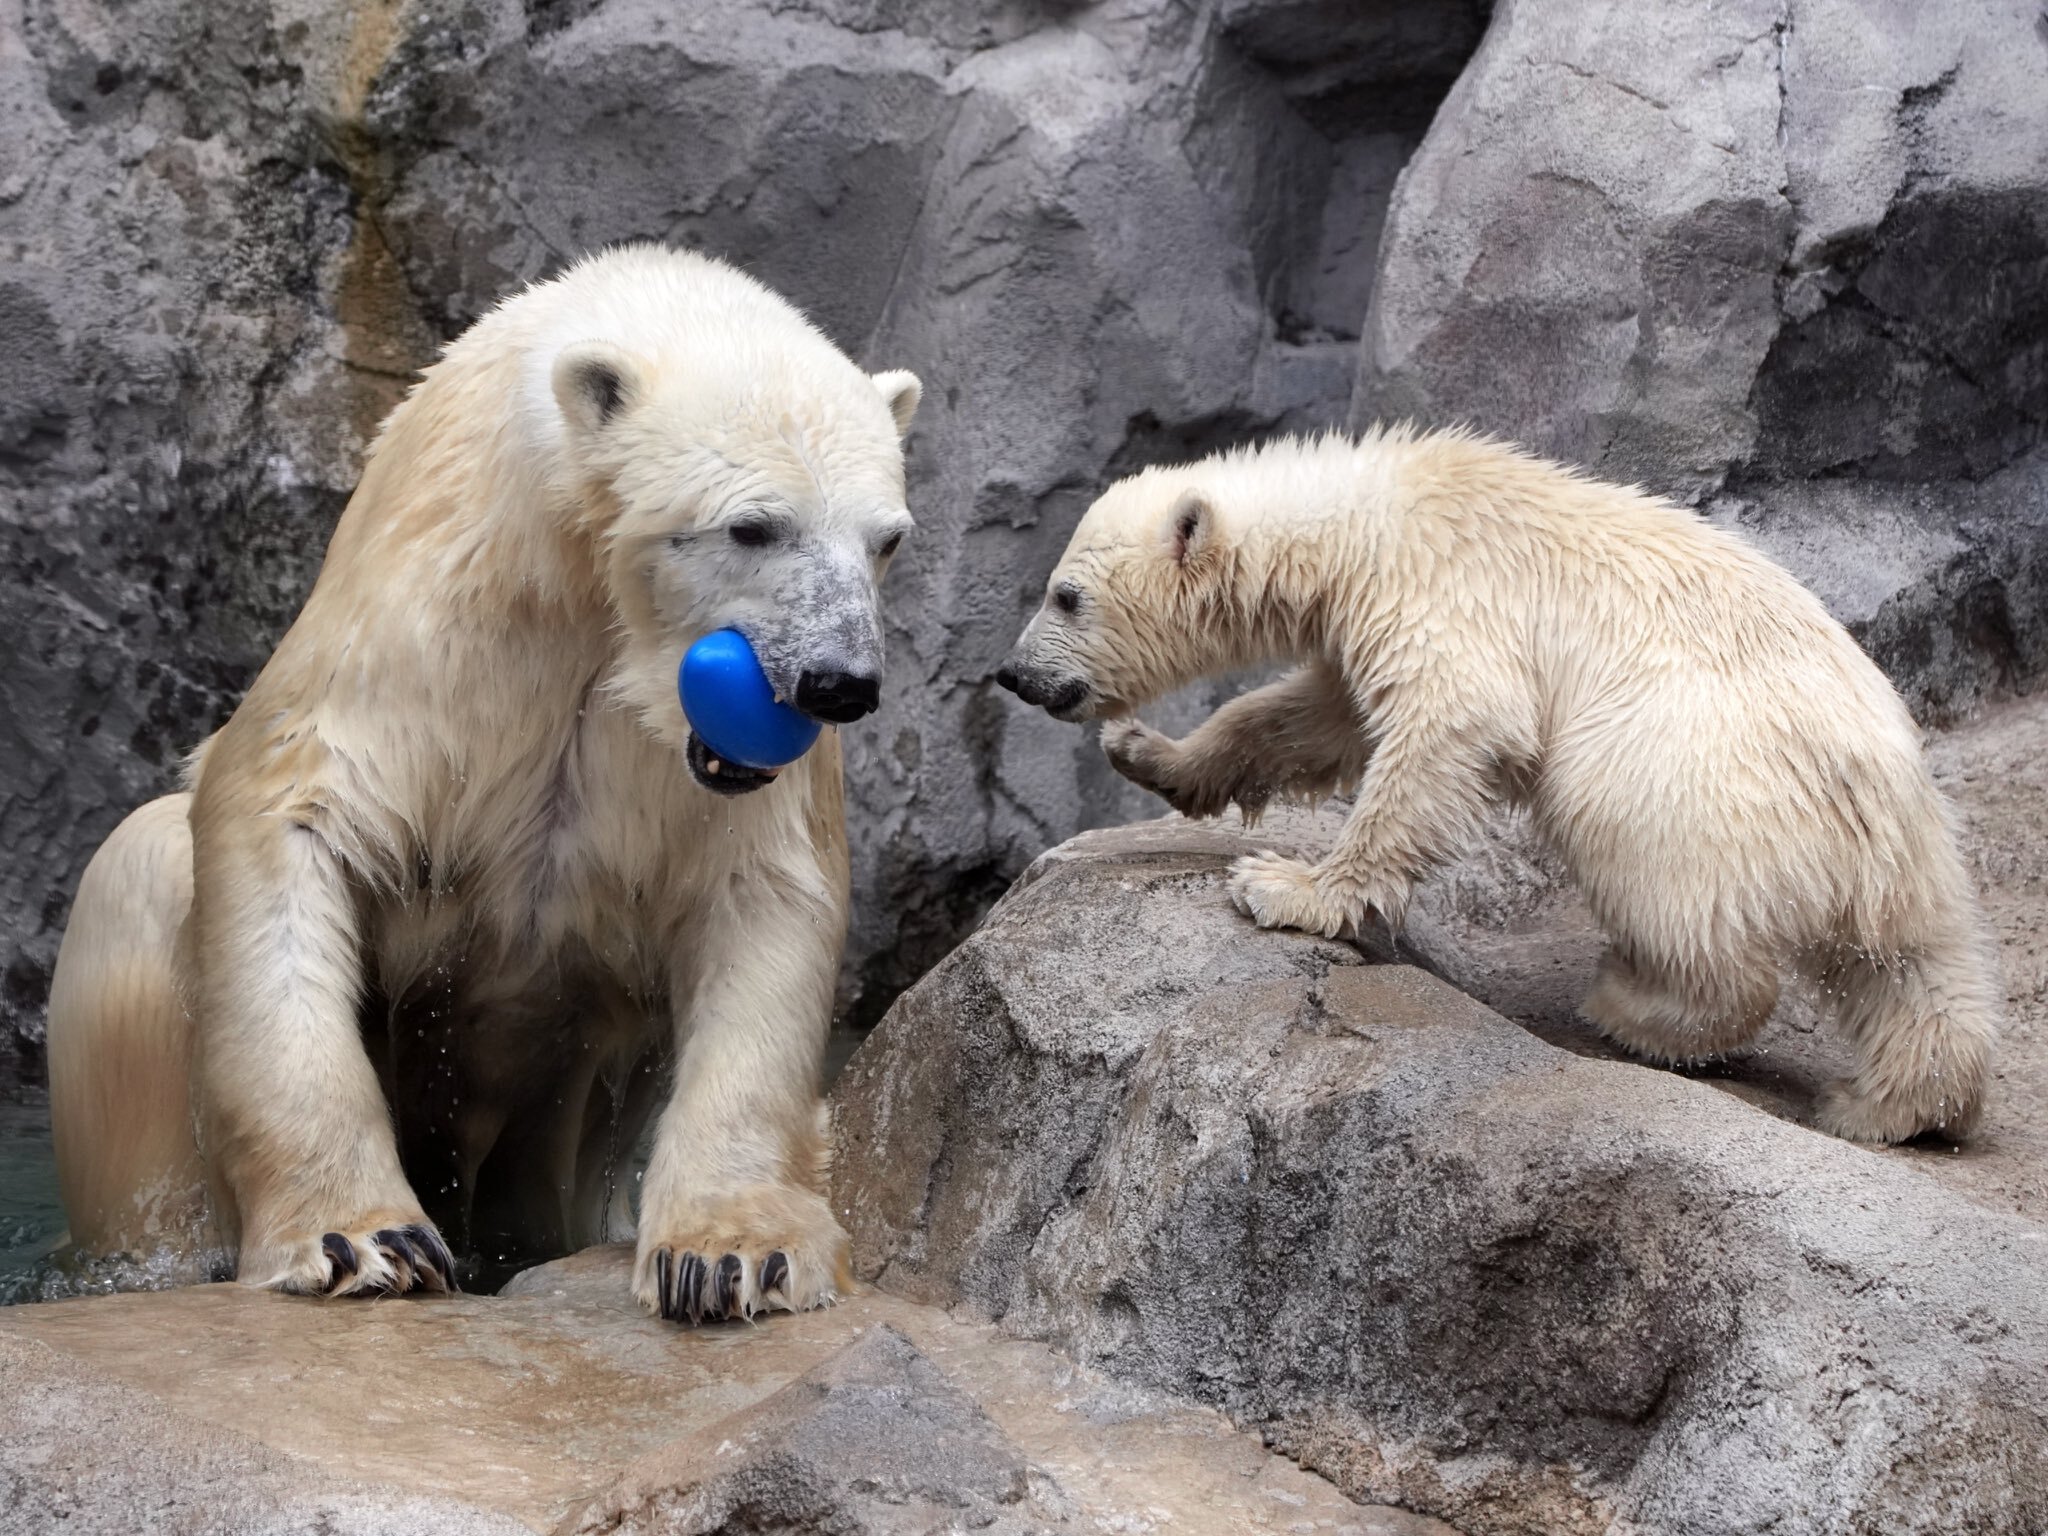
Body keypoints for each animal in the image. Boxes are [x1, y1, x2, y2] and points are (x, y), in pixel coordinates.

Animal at [44, 243, 925, 1327]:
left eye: (885, 538)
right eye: (751, 527)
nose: (839, 683)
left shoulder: (713, 770)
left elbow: (763, 900)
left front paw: (731, 1256)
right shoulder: (440, 612)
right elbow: (294, 813)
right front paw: (360, 1241)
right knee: (142, 873)